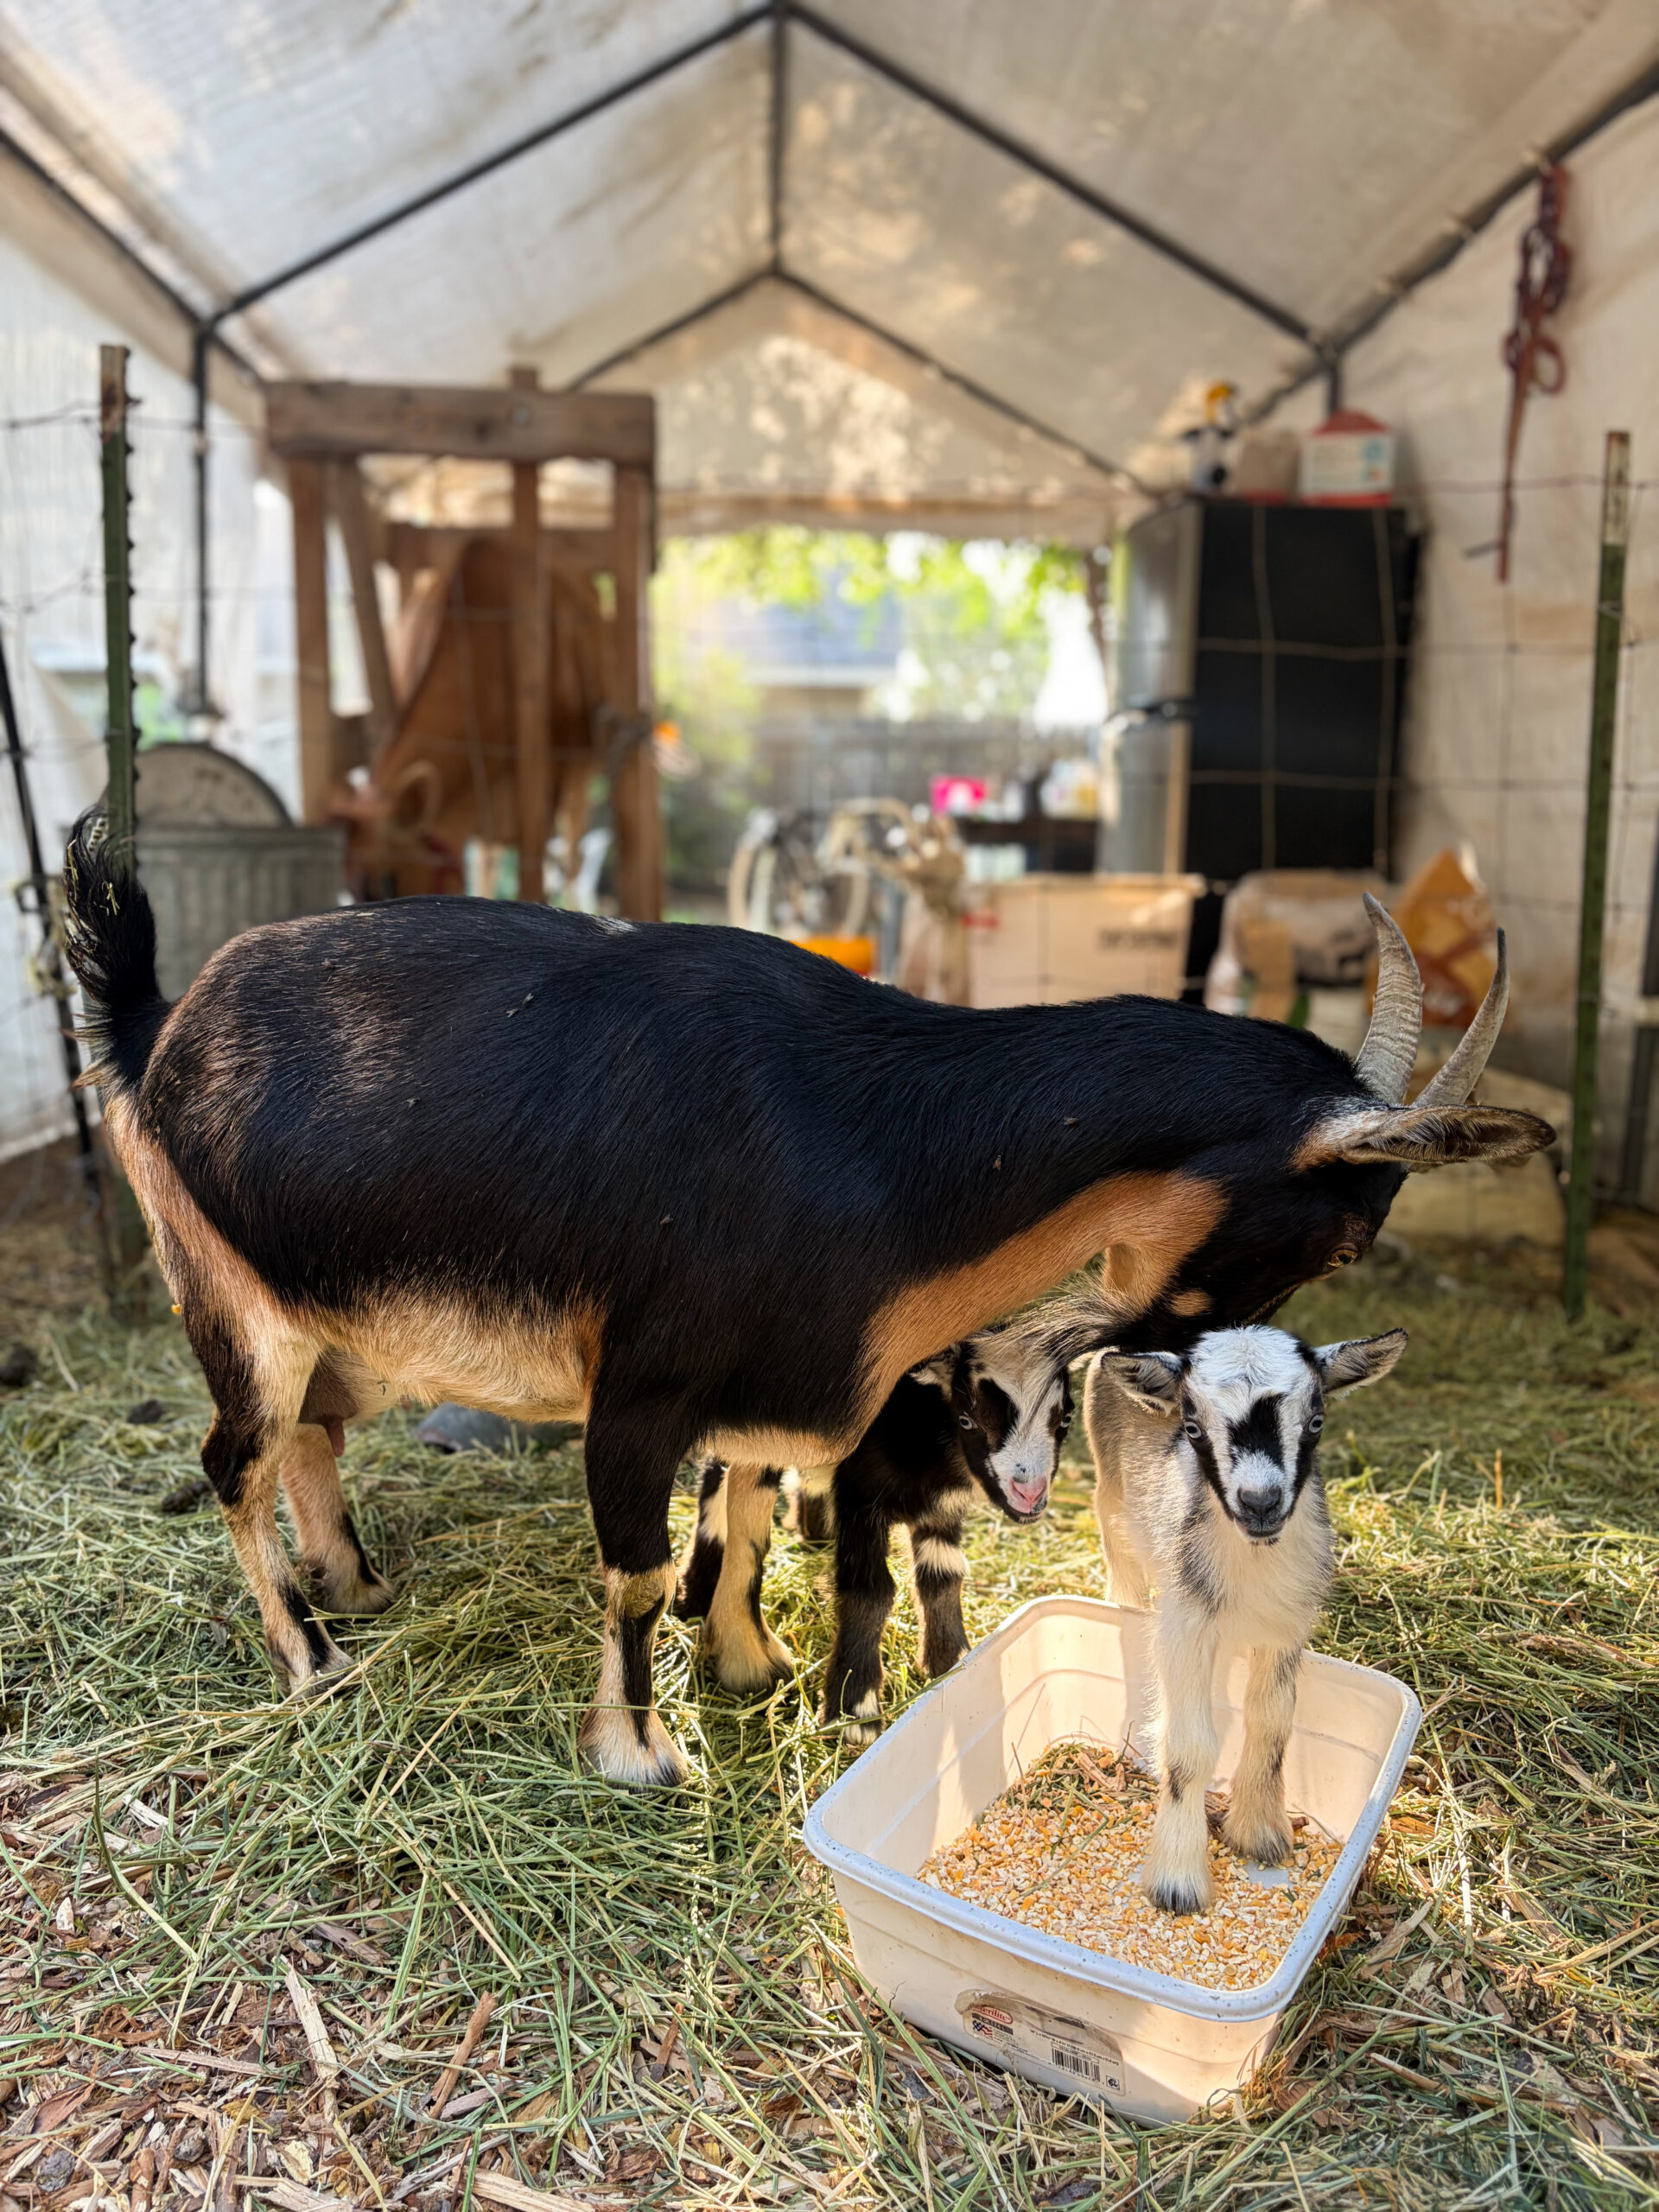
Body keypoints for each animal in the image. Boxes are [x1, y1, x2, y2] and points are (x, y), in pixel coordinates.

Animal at [679, 1302, 1108, 1740]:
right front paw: (855, 1713)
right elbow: (871, 1590)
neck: (919, 1429)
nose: (1029, 1494)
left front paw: (952, 1661)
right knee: (717, 1477)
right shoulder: (860, 1497)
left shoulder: (941, 1508)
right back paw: (696, 1591)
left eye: (1065, 1418)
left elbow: (943, 1575)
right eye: (967, 1419)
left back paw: (813, 1531)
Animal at [1082, 1325, 1406, 1913]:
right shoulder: (1185, 1625)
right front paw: (1178, 1879)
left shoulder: (1286, 1626)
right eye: (1191, 1426)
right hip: (1113, 1507)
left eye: (1317, 1419)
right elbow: (1190, 1747)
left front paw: (1260, 1833)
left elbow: (1273, 1720)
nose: (1259, 1502)